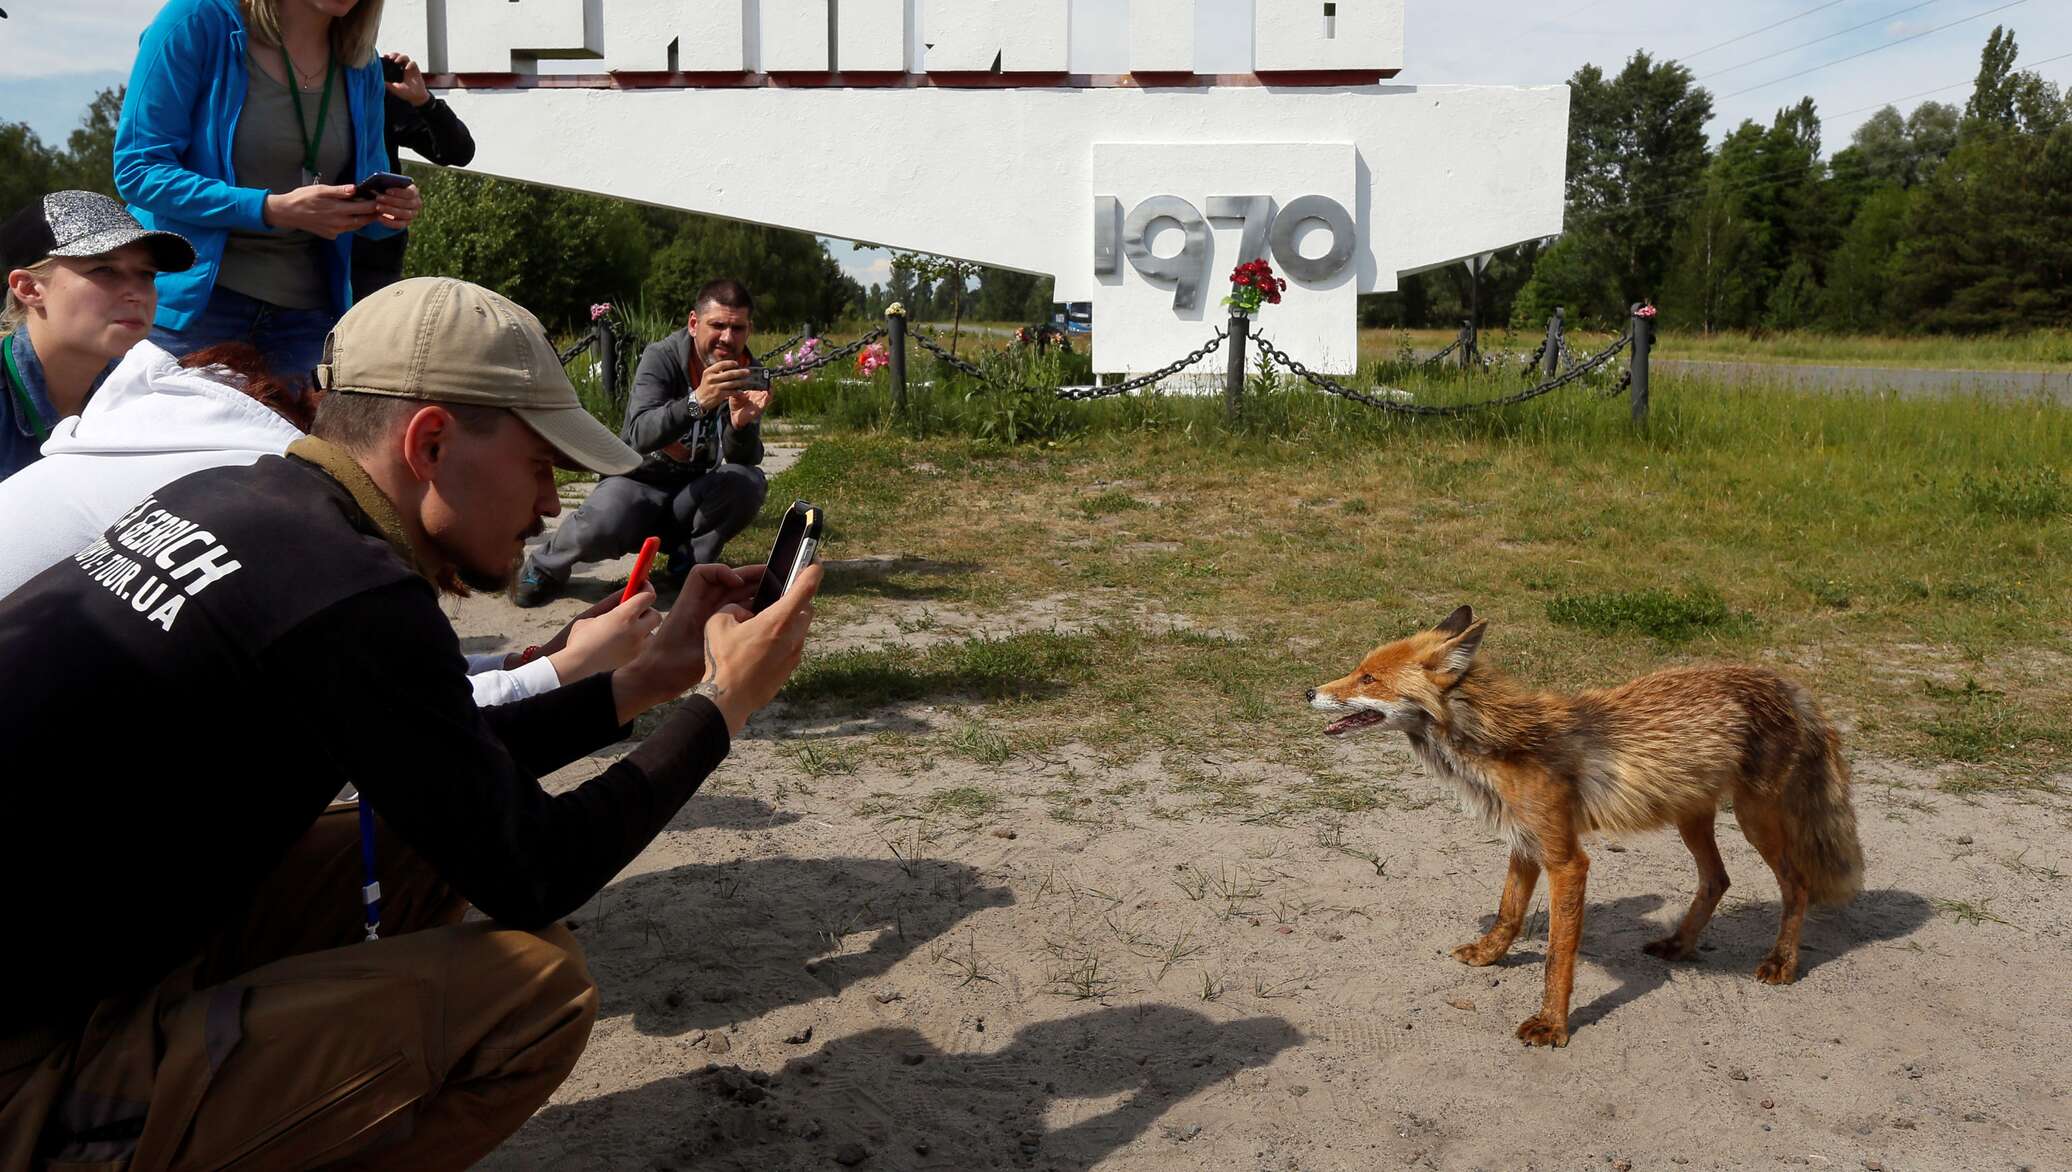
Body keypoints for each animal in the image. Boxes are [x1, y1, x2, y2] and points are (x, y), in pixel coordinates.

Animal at [1309, 612, 1864, 1051]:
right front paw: (1489, 956)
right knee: (1717, 879)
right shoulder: (1526, 840)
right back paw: (1679, 945)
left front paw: (1552, 1026)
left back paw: (1781, 962)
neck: (1503, 743)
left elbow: (1558, 955)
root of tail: (1785, 681)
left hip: (1755, 818)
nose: (1308, 691)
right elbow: (1509, 912)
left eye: (1368, 678)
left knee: (1797, 884)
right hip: (1691, 817)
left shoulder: (1566, 860)